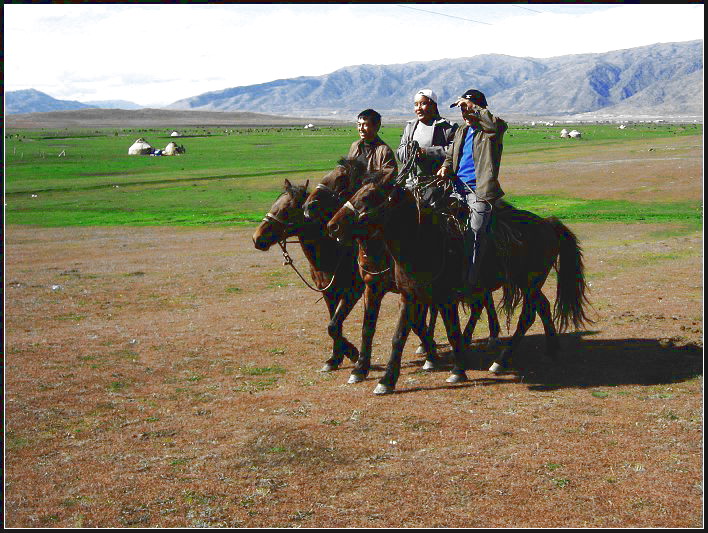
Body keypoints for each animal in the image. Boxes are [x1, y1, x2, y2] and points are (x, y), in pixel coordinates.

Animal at [252, 179, 362, 370]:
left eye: (285, 209)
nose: (256, 238)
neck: (334, 250)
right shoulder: (329, 293)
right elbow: (334, 324)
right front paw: (335, 358)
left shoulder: (353, 292)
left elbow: (333, 326)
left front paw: (353, 353)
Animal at [302, 156, 500, 384]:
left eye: (340, 180)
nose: (307, 207)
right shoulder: (374, 287)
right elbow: (367, 327)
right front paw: (360, 367)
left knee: (480, 302)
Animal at [326, 172, 592, 392]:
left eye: (367, 196)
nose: (332, 225)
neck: (423, 240)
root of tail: (547, 223)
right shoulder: (408, 295)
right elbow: (396, 335)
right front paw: (384, 378)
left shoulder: (444, 297)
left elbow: (449, 331)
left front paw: (455, 368)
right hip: (528, 284)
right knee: (542, 306)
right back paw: (551, 348)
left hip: (528, 282)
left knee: (527, 315)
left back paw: (501, 360)